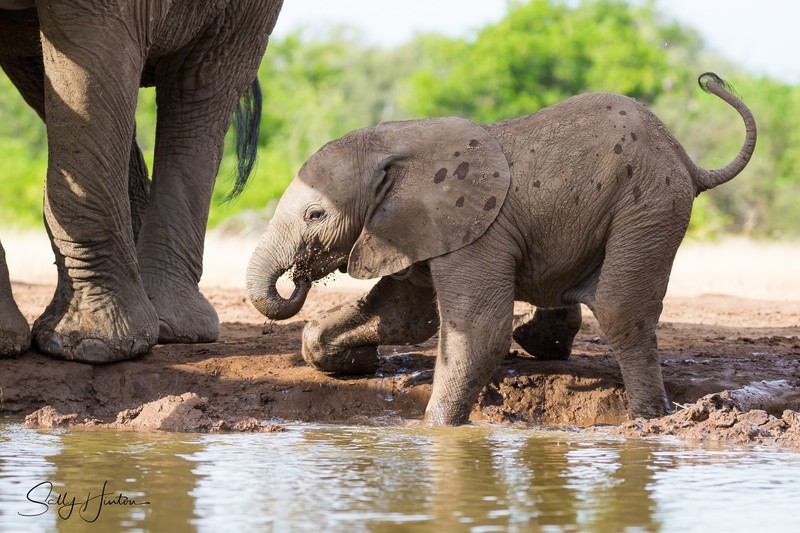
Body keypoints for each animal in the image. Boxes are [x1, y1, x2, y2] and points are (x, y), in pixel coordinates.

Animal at [246, 72, 756, 426]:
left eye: (316, 215)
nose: (300, 277)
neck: (393, 144)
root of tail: (688, 159)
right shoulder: (419, 227)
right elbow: (405, 316)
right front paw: (347, 362)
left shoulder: (474, 231)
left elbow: (477, 331)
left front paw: (433, 429)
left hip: (650, 203)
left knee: (619, 308)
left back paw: (650, 420)